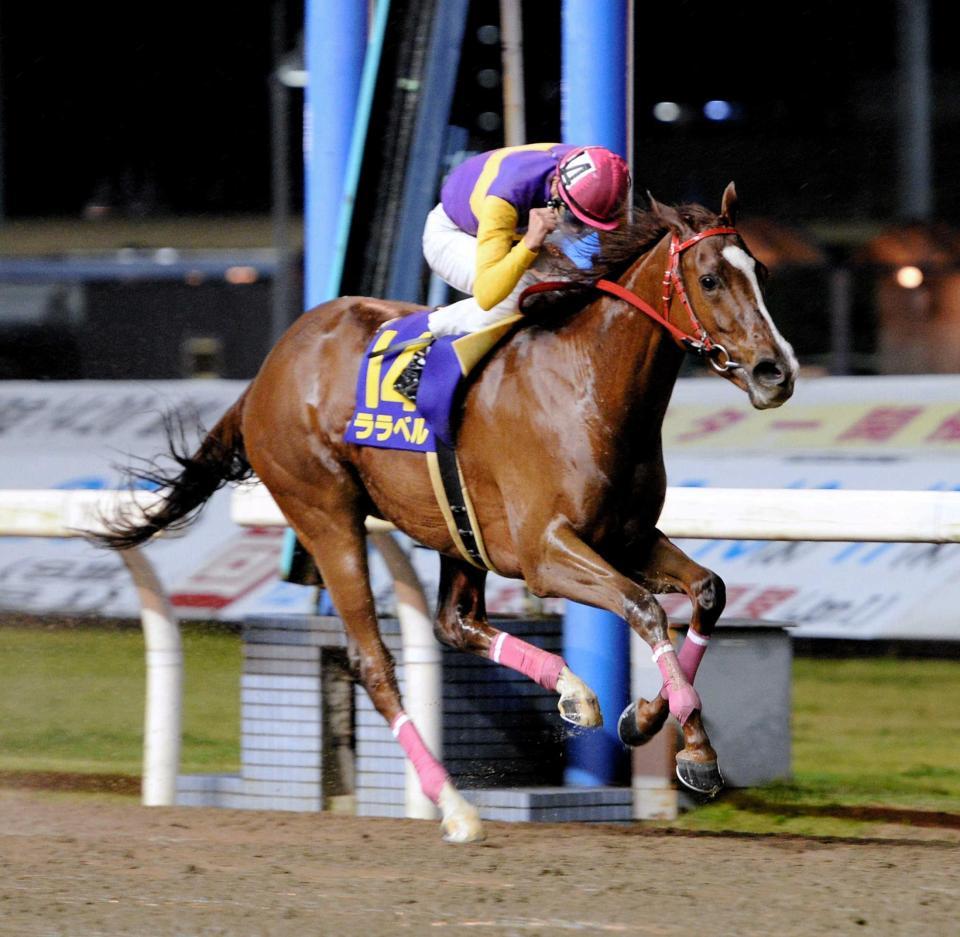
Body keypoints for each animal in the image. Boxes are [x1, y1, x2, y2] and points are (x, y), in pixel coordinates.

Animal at [95, 183, 796, 840]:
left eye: (761, 272)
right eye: (709, 279)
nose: (776, 373)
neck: (589, 383)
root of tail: (265, 375)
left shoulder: (624, 535)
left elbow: (708, 591)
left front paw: (651, 721)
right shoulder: (546, 552)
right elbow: (644, 607)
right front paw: (690, 746)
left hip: (457, 533)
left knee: (455, 623)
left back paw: (571, 692)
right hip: (325, 514)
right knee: (373, 662)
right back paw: (456, 807)